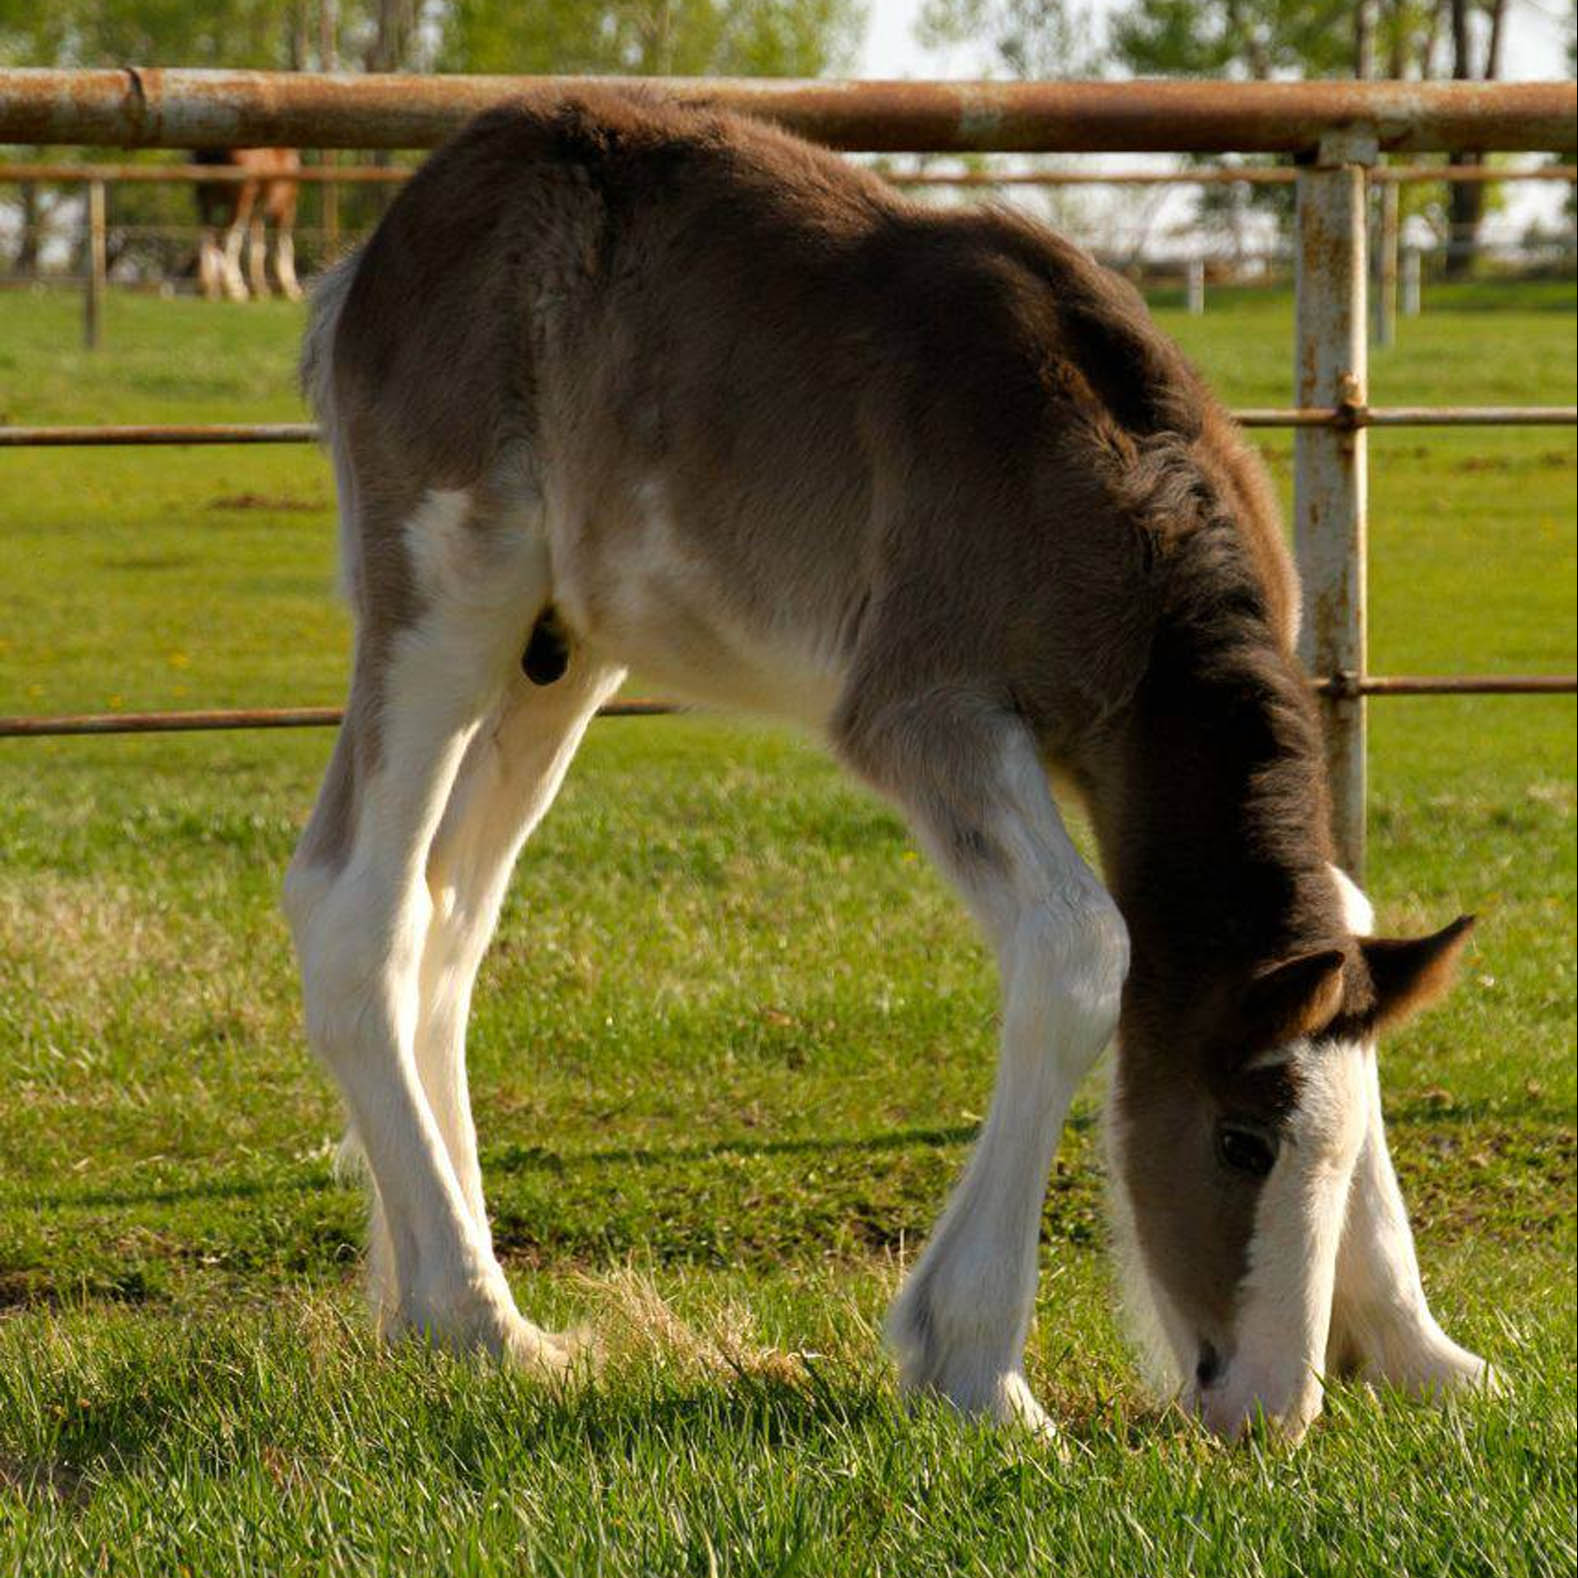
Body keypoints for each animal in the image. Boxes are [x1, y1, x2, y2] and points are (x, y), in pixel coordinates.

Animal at [195, 148, 302, 301]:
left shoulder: (259, 209)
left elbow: (259, 247)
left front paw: (262, 290)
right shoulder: (285, 206)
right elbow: (284, 245)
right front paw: (292, 289)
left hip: (211, 201)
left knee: (210, 238)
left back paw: (213, 289)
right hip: (243, 200)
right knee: (229, 238)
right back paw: (236, 289)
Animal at [287, 89, 1489, 1445]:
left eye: (1330, 1151)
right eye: (1239, 1141)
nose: (1268, 1414)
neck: (1109, 493)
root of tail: (371, 258)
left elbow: (1338, 910)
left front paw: (1423, 1350)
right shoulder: (924, 713)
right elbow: (1082, 952)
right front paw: (976, 1369)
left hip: (559, 657)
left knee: (447, 925)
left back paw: (421, 1296)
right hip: (454, 587)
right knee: (354, 907)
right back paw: (477, 1321)